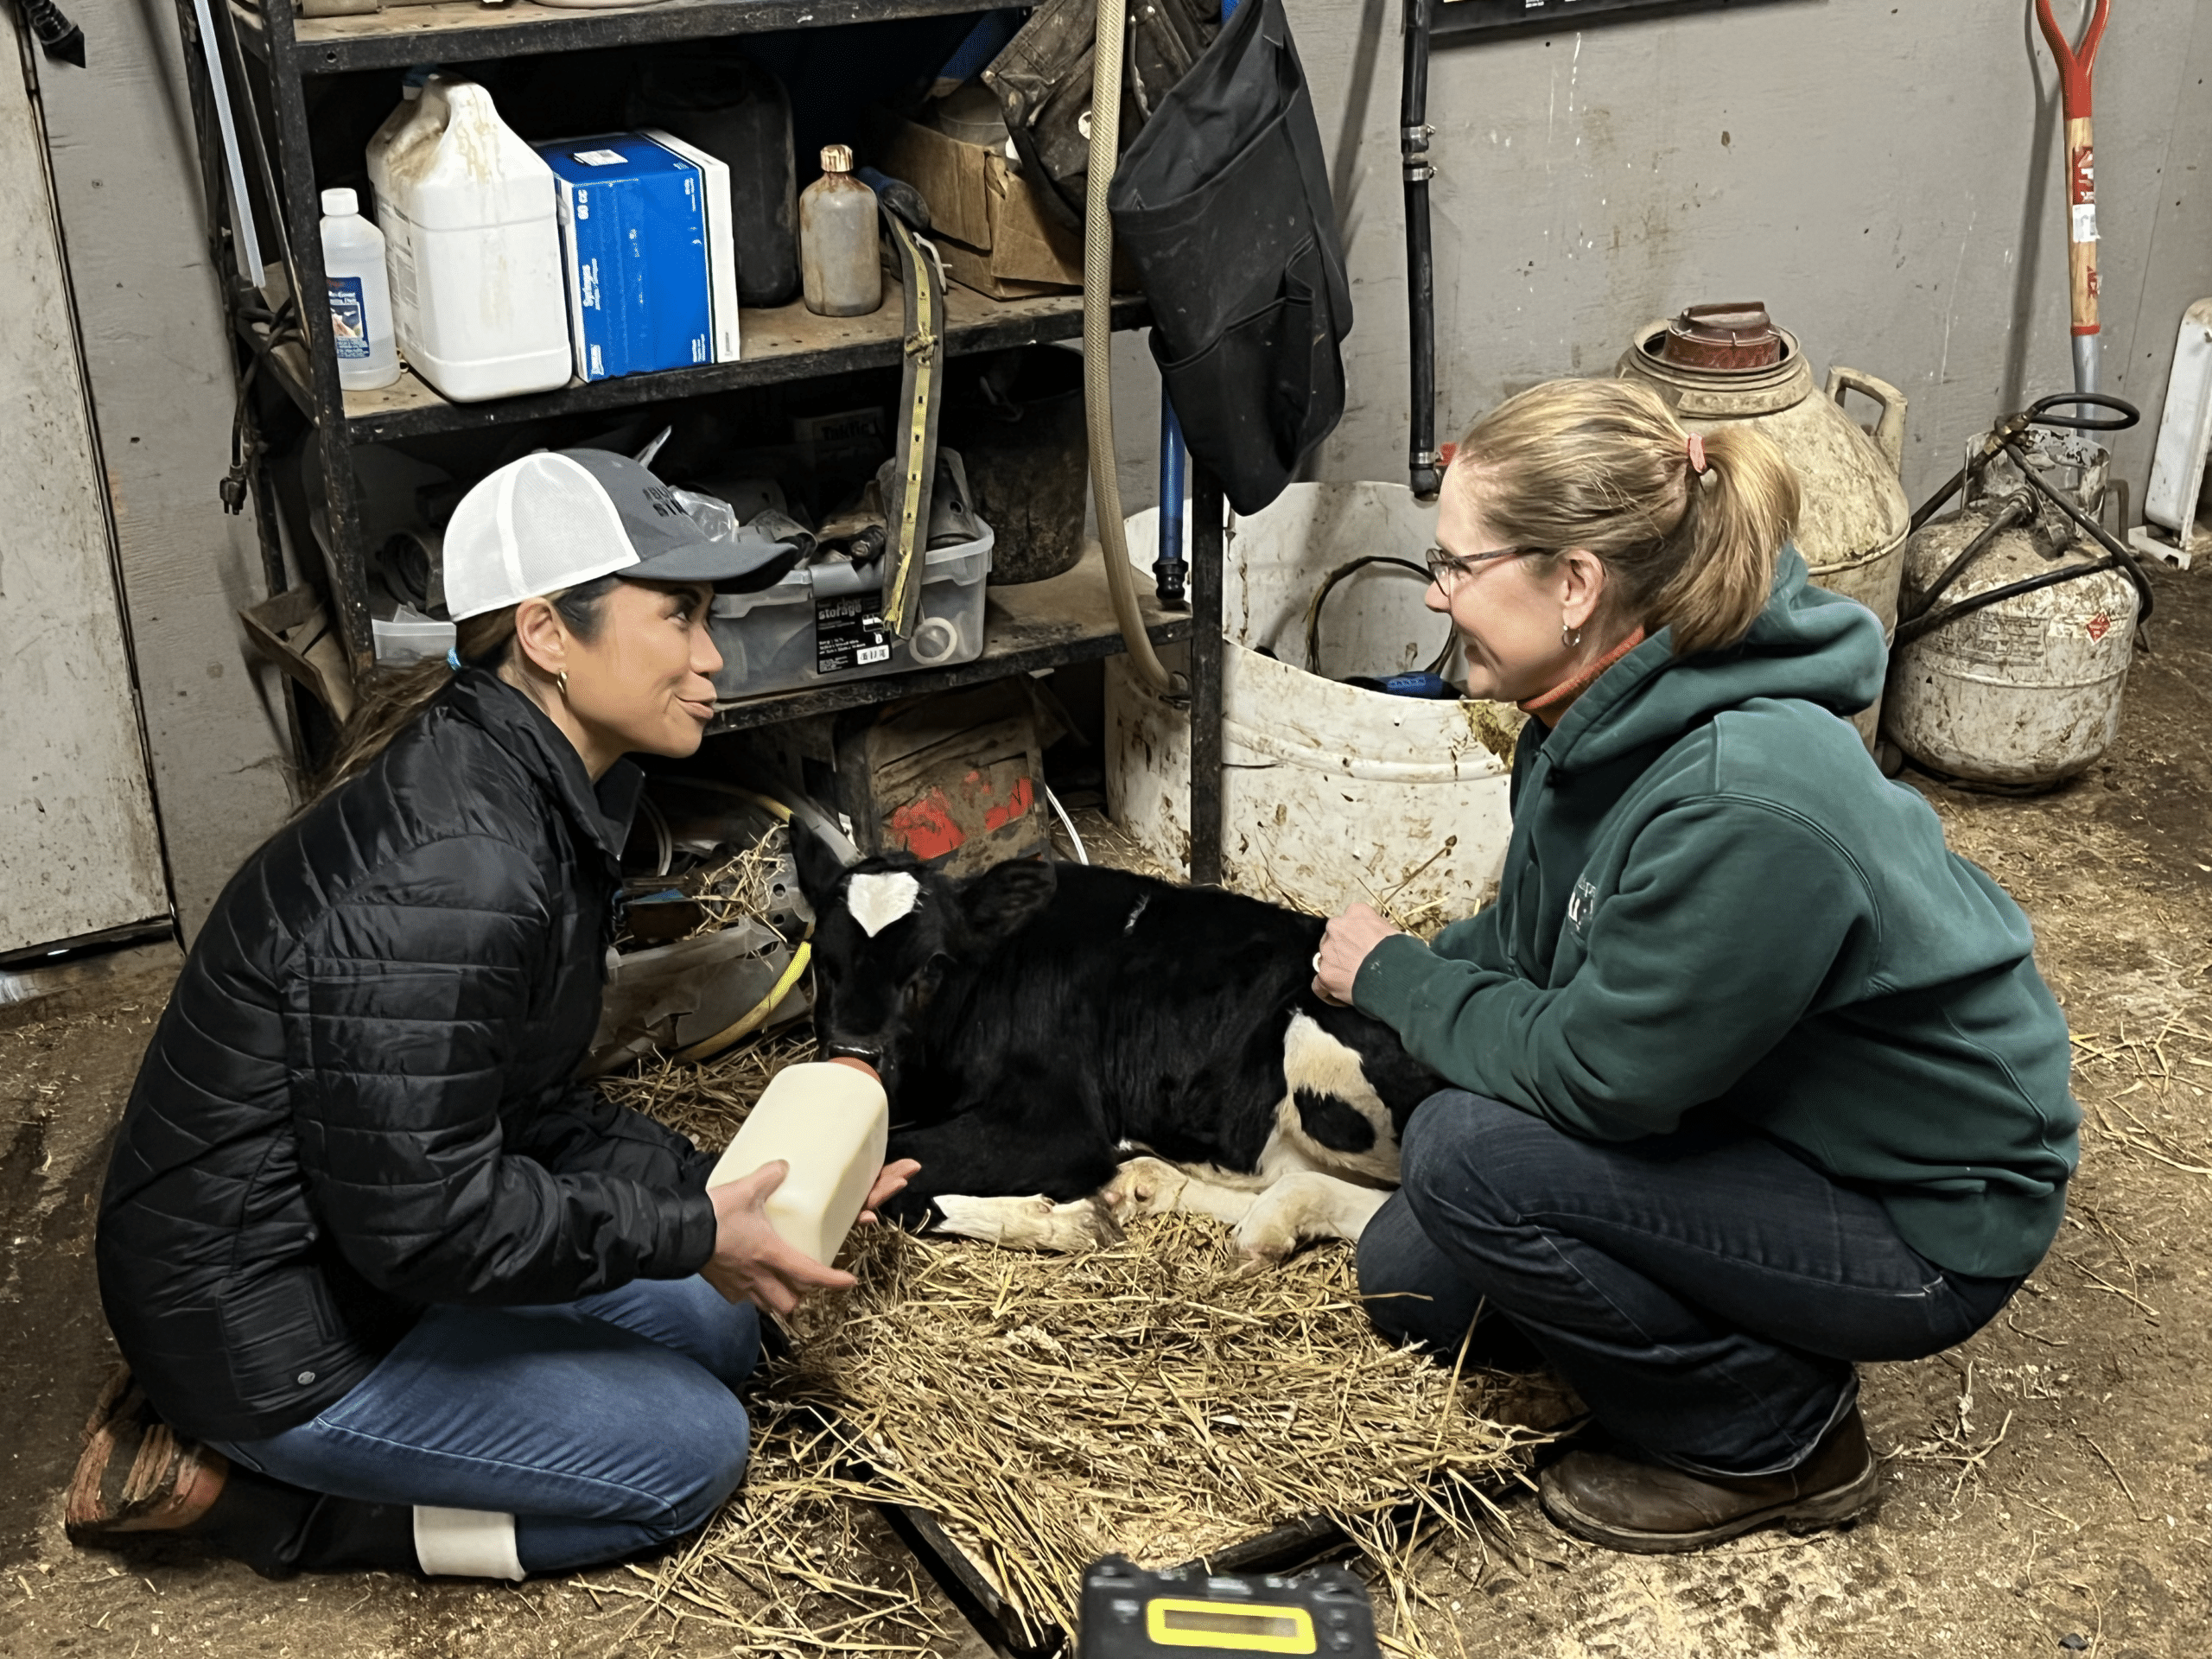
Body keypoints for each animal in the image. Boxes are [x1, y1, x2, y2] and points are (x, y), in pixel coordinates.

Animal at [800, 844, 1451, 1256]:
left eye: (932, 965)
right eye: (820, 960)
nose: (855, 1049)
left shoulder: (1055, 1127)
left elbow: (896, 1170)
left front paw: (1067, 1223)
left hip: (1315, 1047)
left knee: (1382, 1201)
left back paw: (1267, 1222)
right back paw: (1147, 1186)